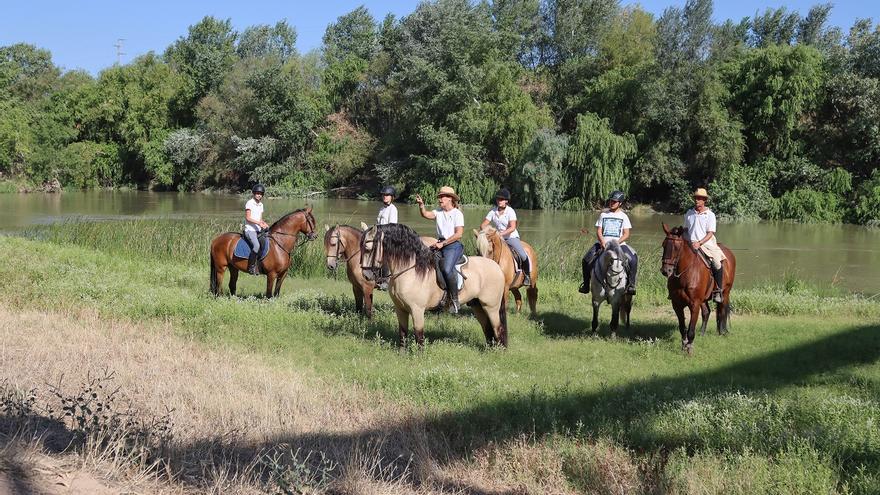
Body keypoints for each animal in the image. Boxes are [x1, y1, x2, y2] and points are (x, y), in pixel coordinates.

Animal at [360, 225, 508, 348]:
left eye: (368, 248)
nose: (366, 275)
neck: (410, 270)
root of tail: (497, 267)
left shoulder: (417, 309)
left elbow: (419, 334)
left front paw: (418, 356)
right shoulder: (400, 309)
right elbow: (402, 332)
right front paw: (402, 353)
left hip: (491, 306)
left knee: (497, 327)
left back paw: (498, 351)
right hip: (477, 306)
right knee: (487, 328)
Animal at [660, 223, 736, 354]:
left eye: (676, 247)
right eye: (663, 245)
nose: (666, 270)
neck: (685, 274)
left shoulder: (694, 304)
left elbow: (691, 329)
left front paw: (689, 348)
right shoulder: (677, 304)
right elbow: (682, 327)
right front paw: (684, 345)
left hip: (725, 292)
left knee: (722, 310)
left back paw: (722, 331)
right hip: (704, 298)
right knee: (706, 312)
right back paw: (702, 333)